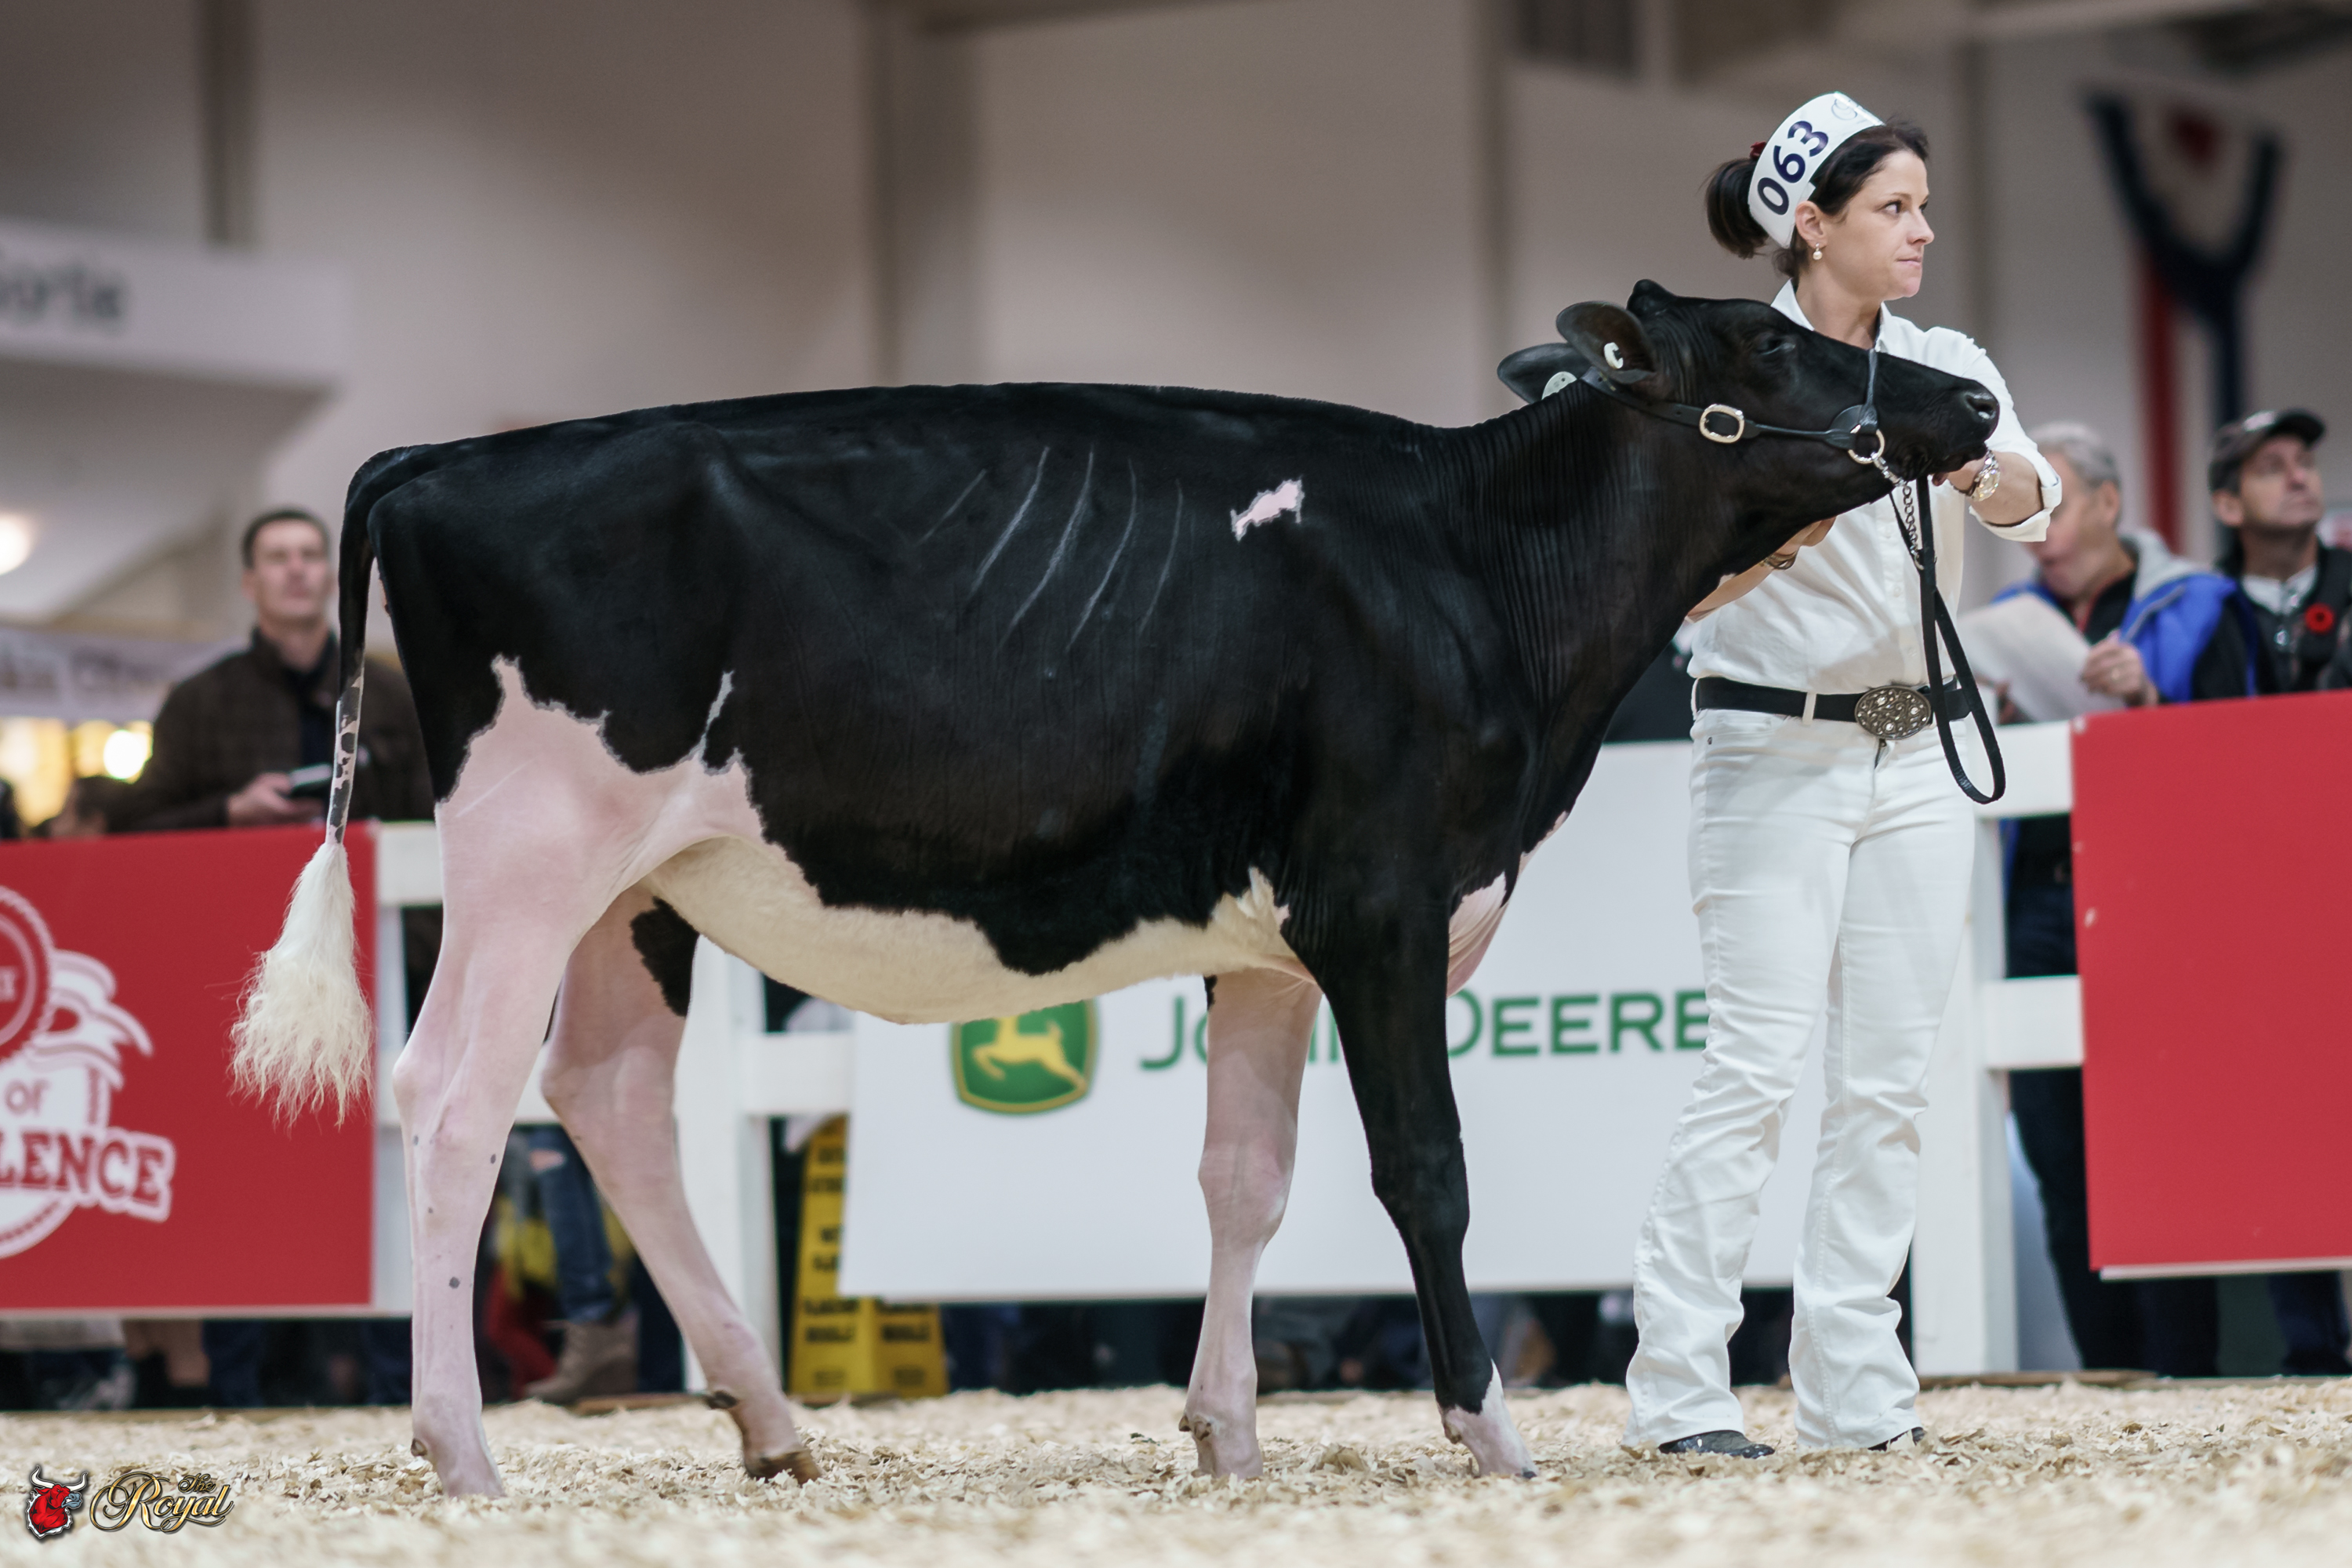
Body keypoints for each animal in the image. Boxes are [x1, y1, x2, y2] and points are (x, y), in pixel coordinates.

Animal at [232, 280, 1997, 1498]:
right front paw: (1491, 1433)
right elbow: (1425, 1171)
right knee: (454, 1094)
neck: (1471, 570)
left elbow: (1244, 1176)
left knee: (607, 1094)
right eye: (1763, 344)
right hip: (531, 843)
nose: (1966, 402)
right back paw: (461, 1452)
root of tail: (448, 457)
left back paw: (773, 1420)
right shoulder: (1383, 902)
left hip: (638, 884)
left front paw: (1228, 1433)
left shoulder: (1275, 943)